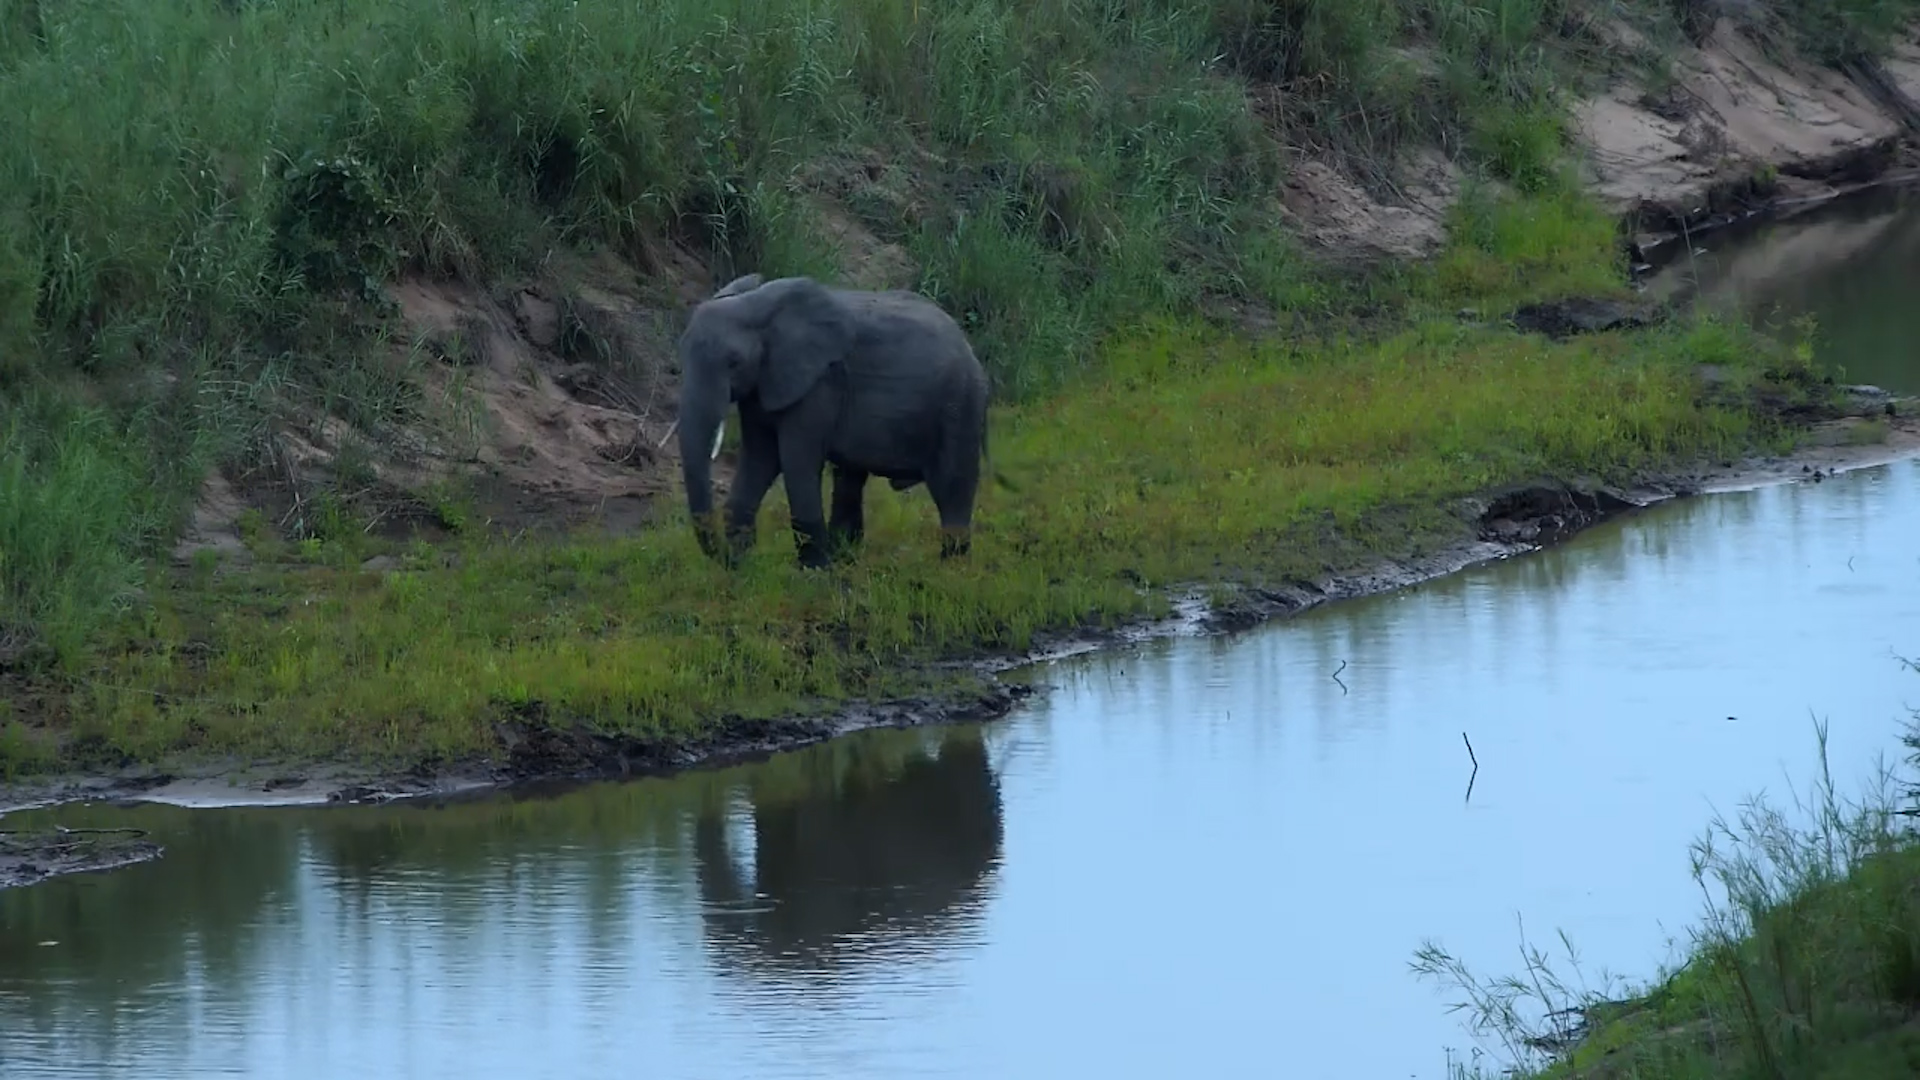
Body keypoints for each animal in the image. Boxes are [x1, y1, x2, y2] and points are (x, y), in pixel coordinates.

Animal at [674, 273, 992, 569]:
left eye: (734, 362)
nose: (726, 560)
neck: (756, 304)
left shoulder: (821, 383)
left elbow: (797, 464)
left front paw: (813, 573)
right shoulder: (765, 384)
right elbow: (758, 459)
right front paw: (742, 571)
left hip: (959, 405)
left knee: (952, 485)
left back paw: (950, 570)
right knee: (850, 479)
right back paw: (846, 560)